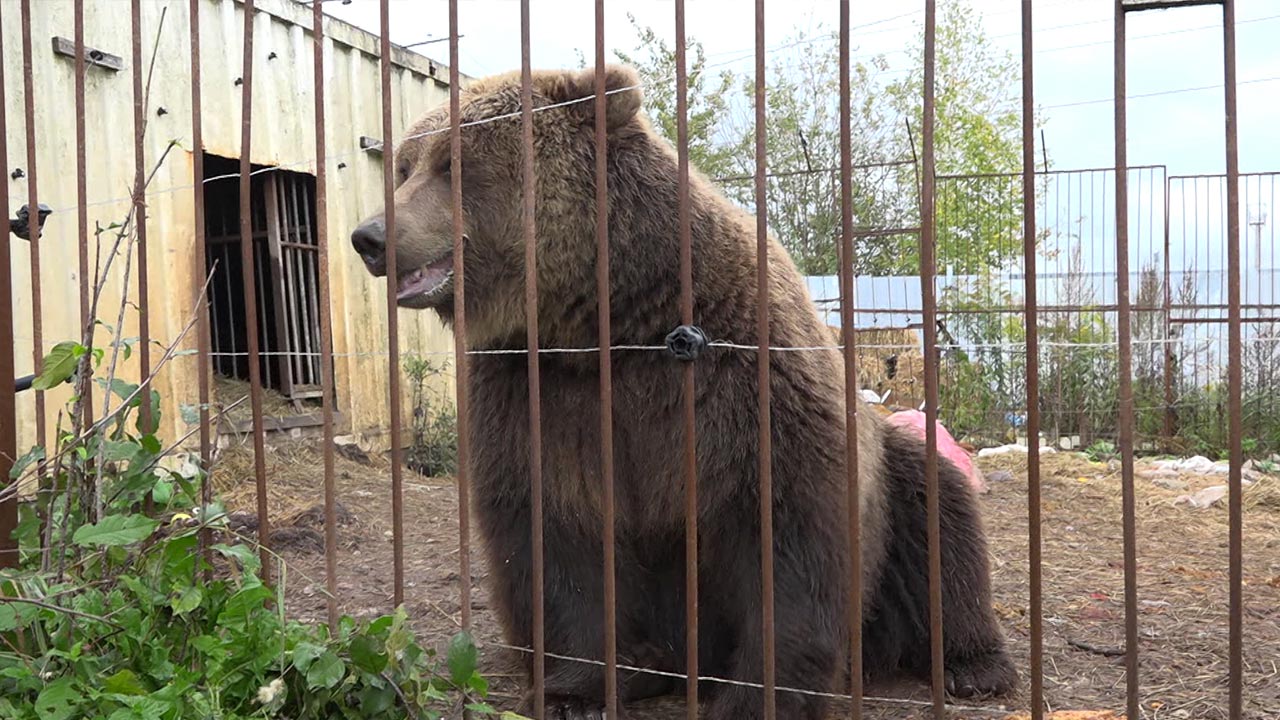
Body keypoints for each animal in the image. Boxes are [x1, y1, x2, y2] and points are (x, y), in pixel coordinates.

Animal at [353, 63, 1018, 717]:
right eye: (405, 166)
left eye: (453, 163)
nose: (370, 236)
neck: (607, 322)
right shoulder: (536, 389)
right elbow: (555, 531)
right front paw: (578, 691)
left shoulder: (744, 373)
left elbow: (787, 526)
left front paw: (761, 698)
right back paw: (644, 666)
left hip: (894, 479)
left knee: (939, 512)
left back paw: (976, 665)